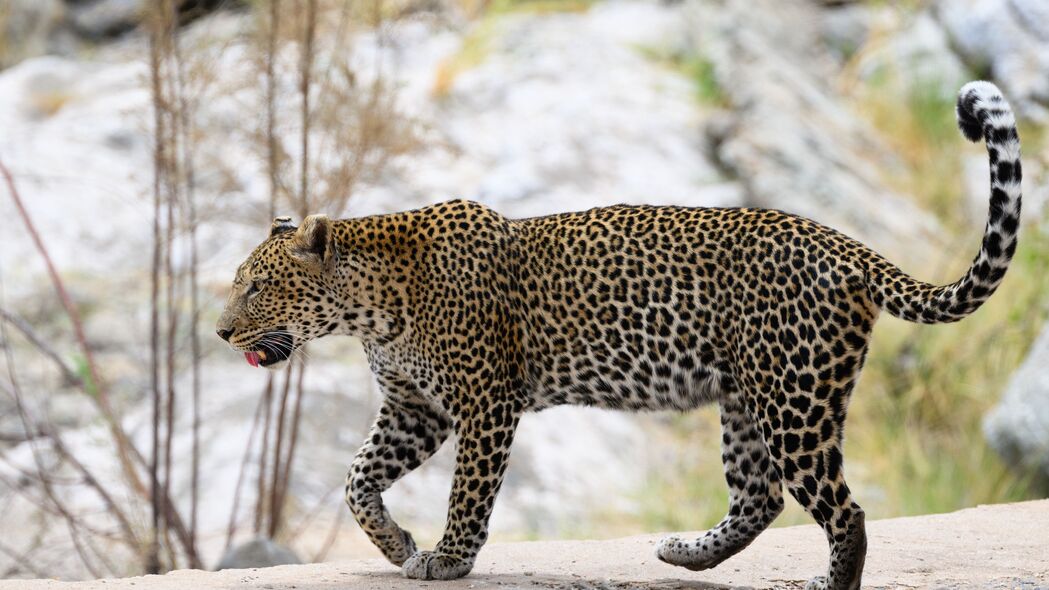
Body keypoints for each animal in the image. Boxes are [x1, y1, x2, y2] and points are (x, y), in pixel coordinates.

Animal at [215, 81, 1023, 587]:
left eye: (255, 284)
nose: (221, 332)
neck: (371, 309)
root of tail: (843, 245)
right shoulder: (414, 407)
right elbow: (357, 479)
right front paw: (398, 545)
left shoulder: (483, 405)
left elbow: (468, 493)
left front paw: (447, 558)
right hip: (746, 397)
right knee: (758, 496)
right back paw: (686, 554)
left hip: (793, 399)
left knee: (843, 511)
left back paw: (823, 582)